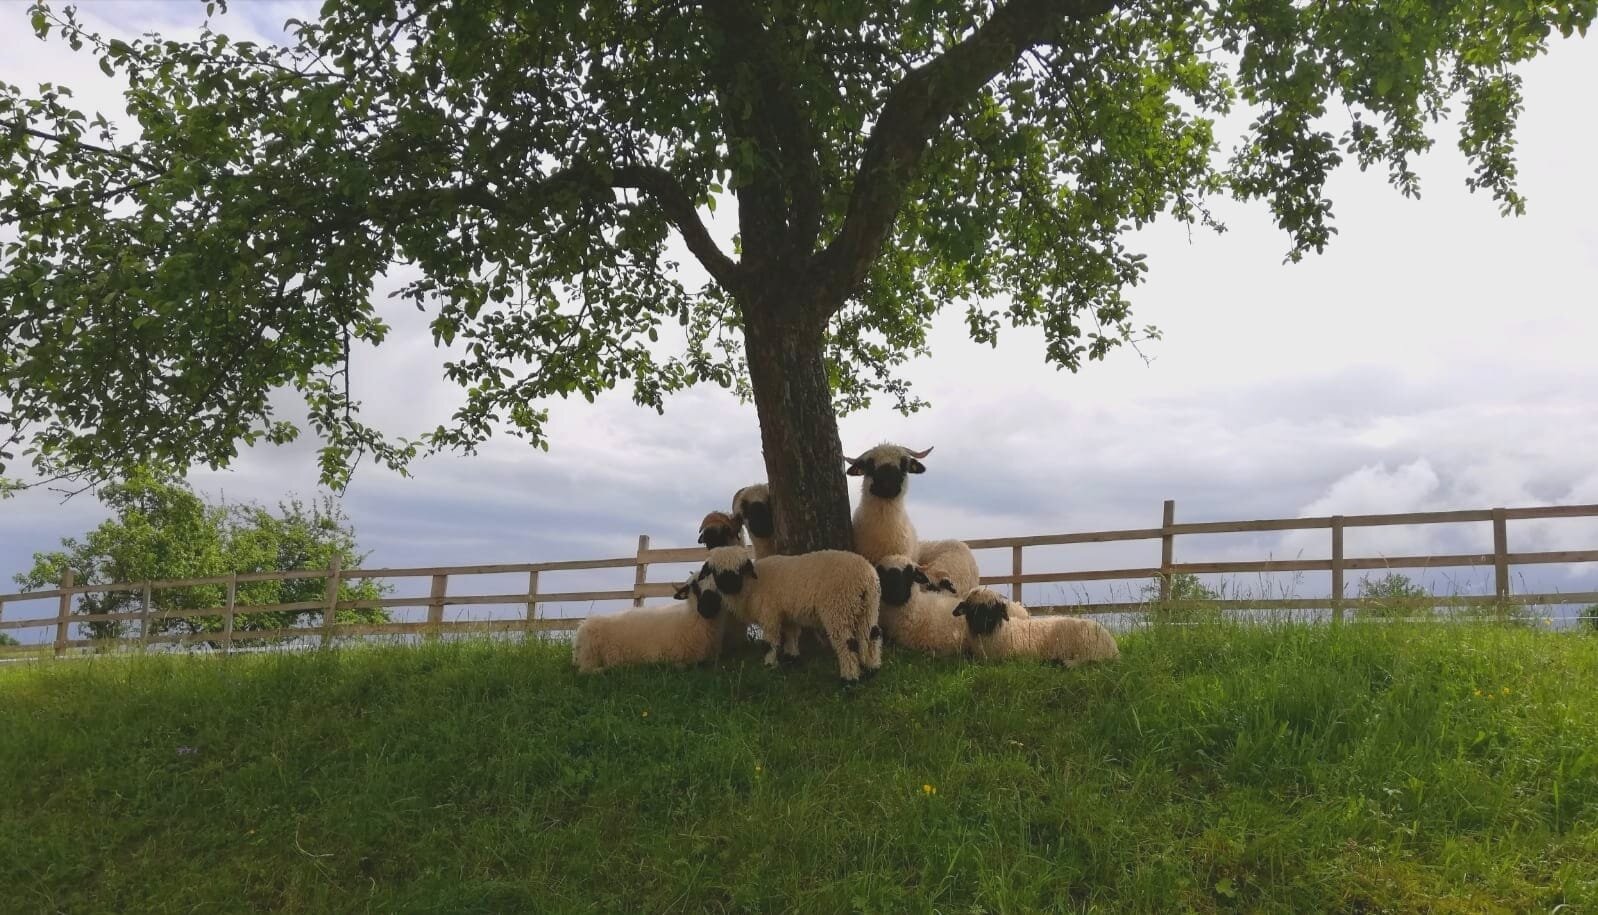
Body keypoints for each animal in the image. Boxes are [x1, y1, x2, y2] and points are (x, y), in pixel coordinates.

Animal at [572, 574, 726, 674]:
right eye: (694, 586)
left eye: (718, 584)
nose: (708, 608)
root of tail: (583, 625)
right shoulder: (670, 658)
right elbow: (682, 666)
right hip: (589, 654)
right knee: (585, 670)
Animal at [702, 545, 882, 683]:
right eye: (715, 571)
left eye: (740, 569)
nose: (729, 587)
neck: (751, 585)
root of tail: (865, 576)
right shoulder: (787, 614)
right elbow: (791, 635)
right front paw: (792, 658)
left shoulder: (770, 613)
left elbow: (770, 642)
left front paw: (769, 665)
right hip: (870, 608)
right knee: (871, 635)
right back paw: (873, 668)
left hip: (838, 608)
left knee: (846, 644)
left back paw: (849, 679)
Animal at [954, 587, 1118, 667]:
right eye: (971, 609)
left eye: (993, 609)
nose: (980, 625)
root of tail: (1113, 647)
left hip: (1088, 649)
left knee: (1087, 661)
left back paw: (1063, 662)